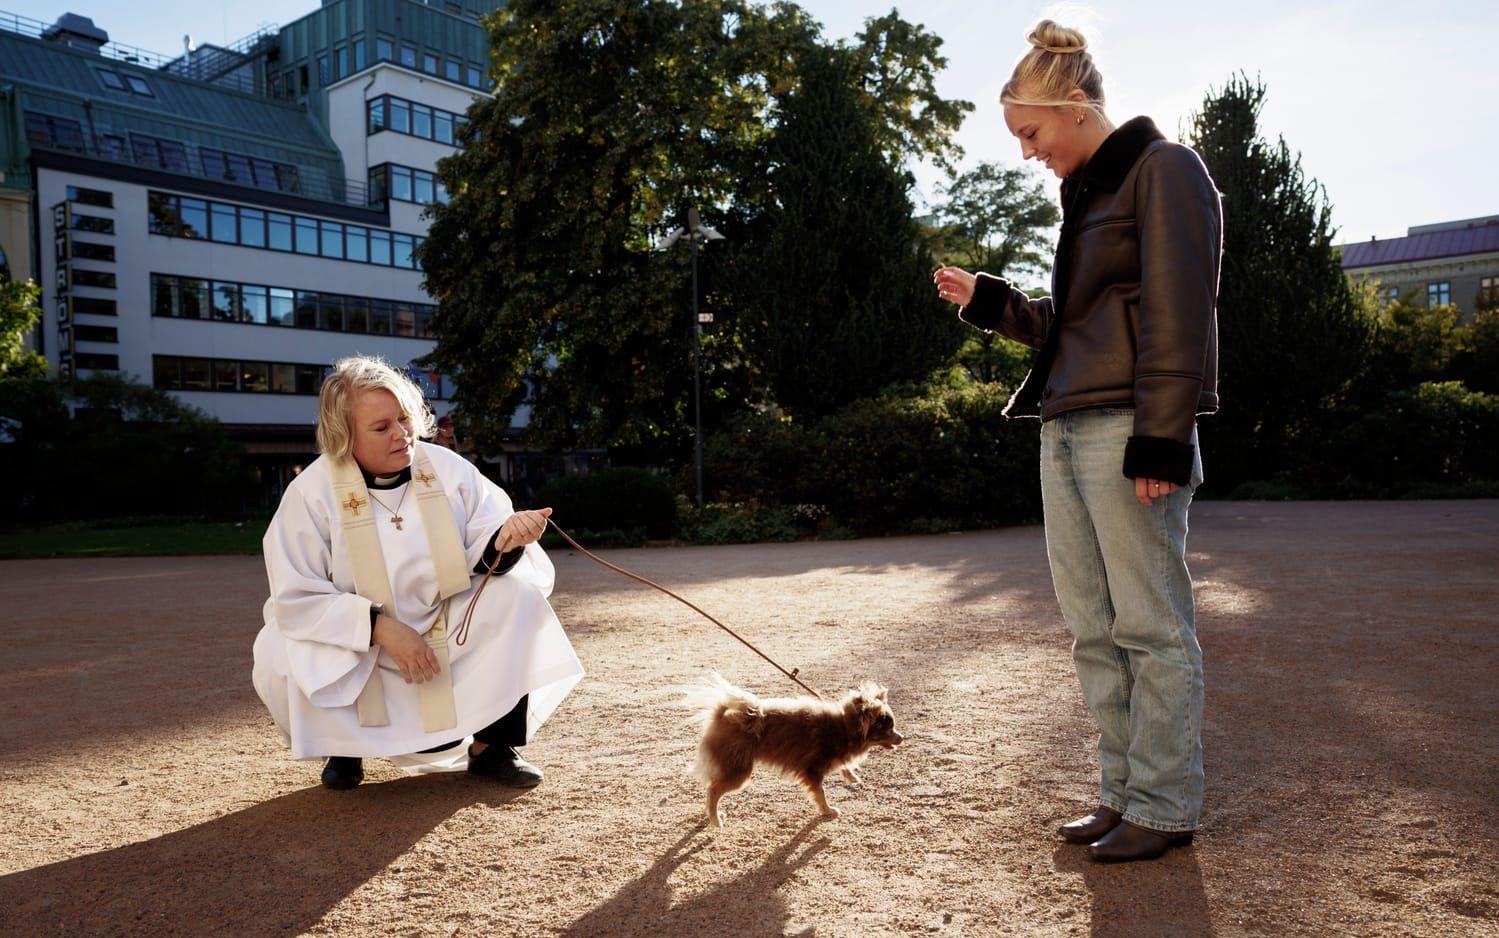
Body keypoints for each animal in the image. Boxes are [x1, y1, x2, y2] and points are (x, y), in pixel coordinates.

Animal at [686, 668, 899, 821]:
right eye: (888, 730)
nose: (902, 738)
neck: (844, 728)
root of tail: (721, 716)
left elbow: (843, 766)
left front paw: (851, 776)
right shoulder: (812, 771)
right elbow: (820, 793)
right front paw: (828, 811)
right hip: (738, 771)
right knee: (713, 790)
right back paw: (715, 820)